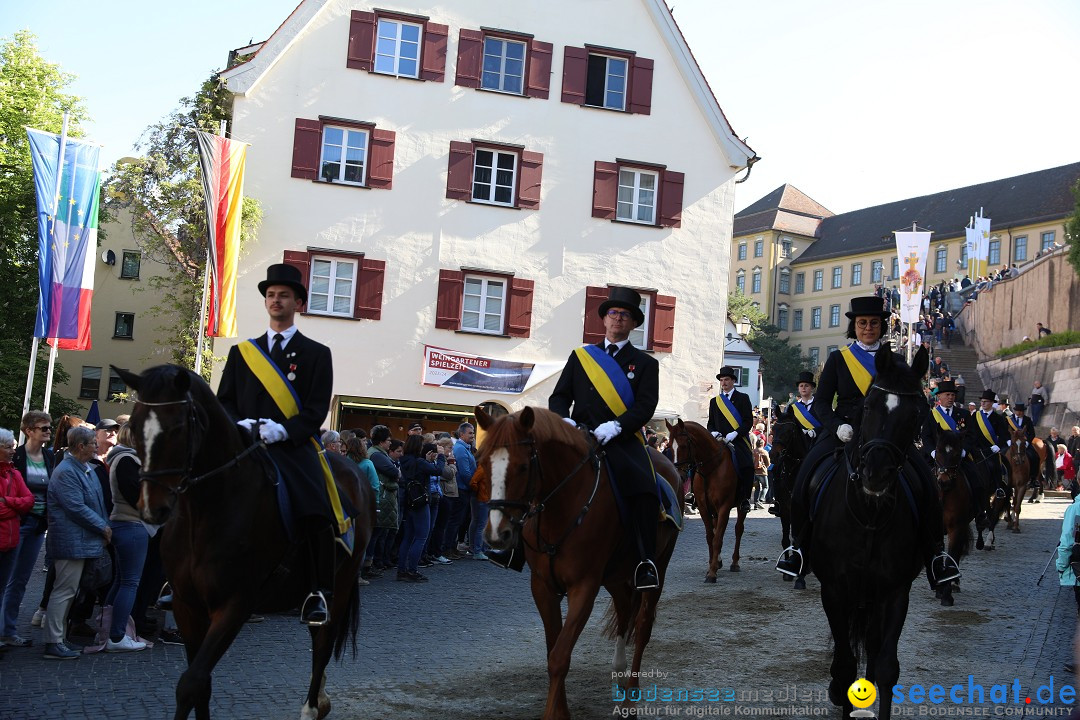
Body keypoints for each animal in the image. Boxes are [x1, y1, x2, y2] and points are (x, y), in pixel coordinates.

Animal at [114, 369, 375, 720]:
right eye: (135, 425)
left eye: (177, 427)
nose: (151, 508)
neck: (206, 511)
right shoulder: (186, 604)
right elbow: (201, 684)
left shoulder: (235, 604)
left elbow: (191, 683)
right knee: (316, 633)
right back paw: (320, 698)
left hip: (343, 580)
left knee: (323, 643)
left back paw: (310, 708)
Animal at [477, 405, 678, 720]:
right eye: (484, 462)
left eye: (522, 467)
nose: (497, 535)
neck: (562, 507)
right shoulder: (543, 587)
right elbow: (553, 648)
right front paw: (561, 710)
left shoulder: (583, 587)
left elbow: (560, 656)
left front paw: (554, 714)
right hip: (616, 575)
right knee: (624, 611)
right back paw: (619, 673)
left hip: (658, 567)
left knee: (643, 625)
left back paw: (630, 699)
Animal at [665, 418, 743, 582]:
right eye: (669, 447)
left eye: (683, 446)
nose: (678, 476)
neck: (712, 468)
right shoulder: (703, 507)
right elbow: (710, 536)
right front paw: (712, 566)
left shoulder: (724, 507)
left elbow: (717, 538)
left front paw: (712, 573)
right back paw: (719, 560)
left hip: (740, 505)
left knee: (738, 529)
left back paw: (734, 562)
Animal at [812, 345, 928, 720]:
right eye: (867, 407)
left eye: (916, 413)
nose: (875, 474)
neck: (869, 515)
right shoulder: (834, 590)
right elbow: (846, 663)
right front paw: (842, 691)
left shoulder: (895, 591)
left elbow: (887, 666)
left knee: (874, 649)